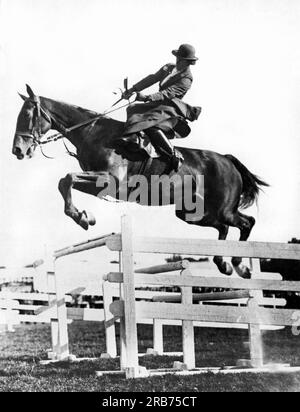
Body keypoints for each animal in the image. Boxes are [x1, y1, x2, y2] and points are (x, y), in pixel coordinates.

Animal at [12, 84, 270, 278]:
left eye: (26, 115)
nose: (18, 150)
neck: (93, 134)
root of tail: (228, 160)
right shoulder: (100, 186)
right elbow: (65, 182)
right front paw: (84, 216)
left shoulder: (110, 180)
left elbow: (67, 178)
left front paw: (83, 218)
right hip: (192, 213)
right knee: (225, 227)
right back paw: (223, 264)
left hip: (222, 209)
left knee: (246, 222)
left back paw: (239, 265)